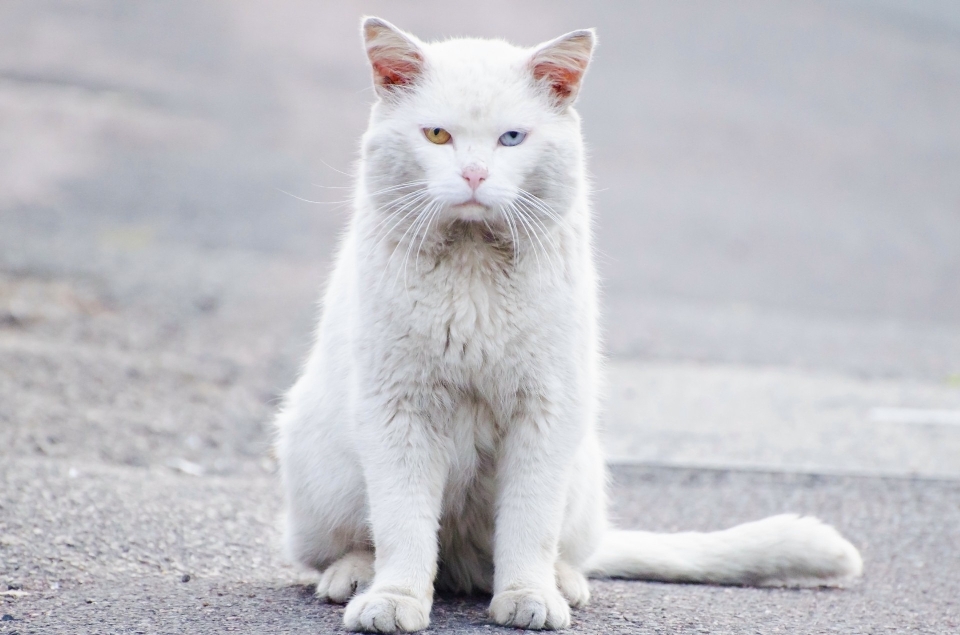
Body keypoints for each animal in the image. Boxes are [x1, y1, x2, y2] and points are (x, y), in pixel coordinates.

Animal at [276, 17, 864, 632]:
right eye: (437, 135)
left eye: (512, 138)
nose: (474, 174)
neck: (473, 259)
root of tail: (459, 563)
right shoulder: (399, 410)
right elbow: (403, 524)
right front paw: (394, 601)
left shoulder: (547, 409)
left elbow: (529, 524)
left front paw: (528, 597)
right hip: (323, 469)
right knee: (349, 545)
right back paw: (354, 577)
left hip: (581, 469)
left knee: (556, 548)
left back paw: (562, 582)